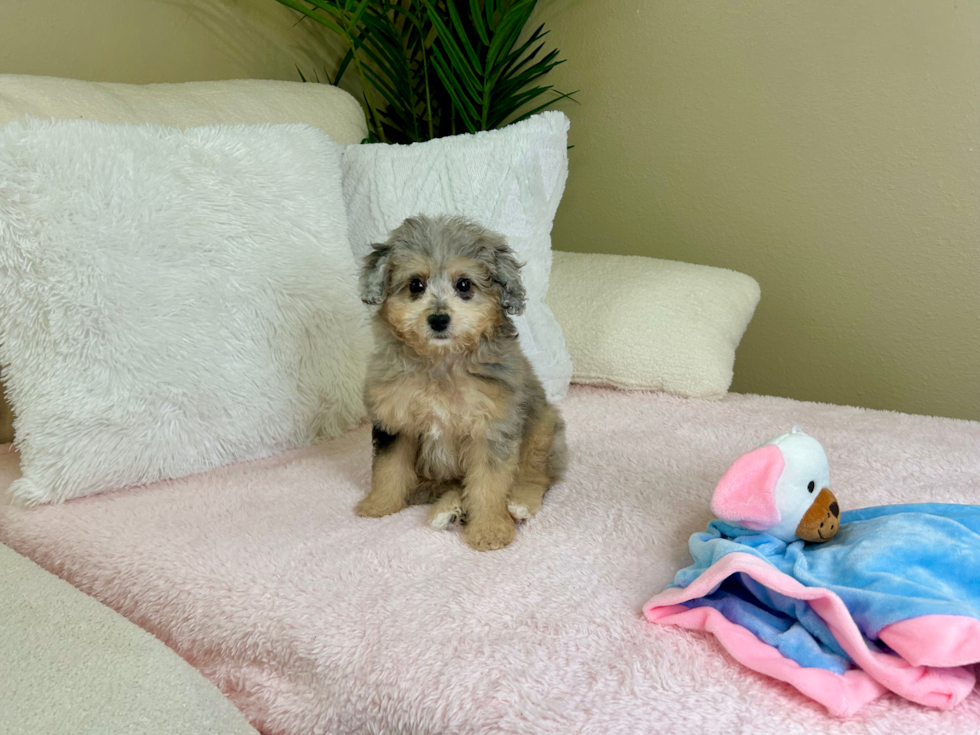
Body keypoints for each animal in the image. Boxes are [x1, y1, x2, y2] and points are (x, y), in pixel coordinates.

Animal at [354, 216, 568, 548]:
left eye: (464, 285)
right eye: (416, 285)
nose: (439, 319)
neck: (441, 363)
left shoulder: (491, 428)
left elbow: (489, 484)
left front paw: (489, 530)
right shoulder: (396, 421)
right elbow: (389, 468)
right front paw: (380, 505)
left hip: (542, 430)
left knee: (536, 476)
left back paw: (519, 504)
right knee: (453, 486)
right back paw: (448, 510)